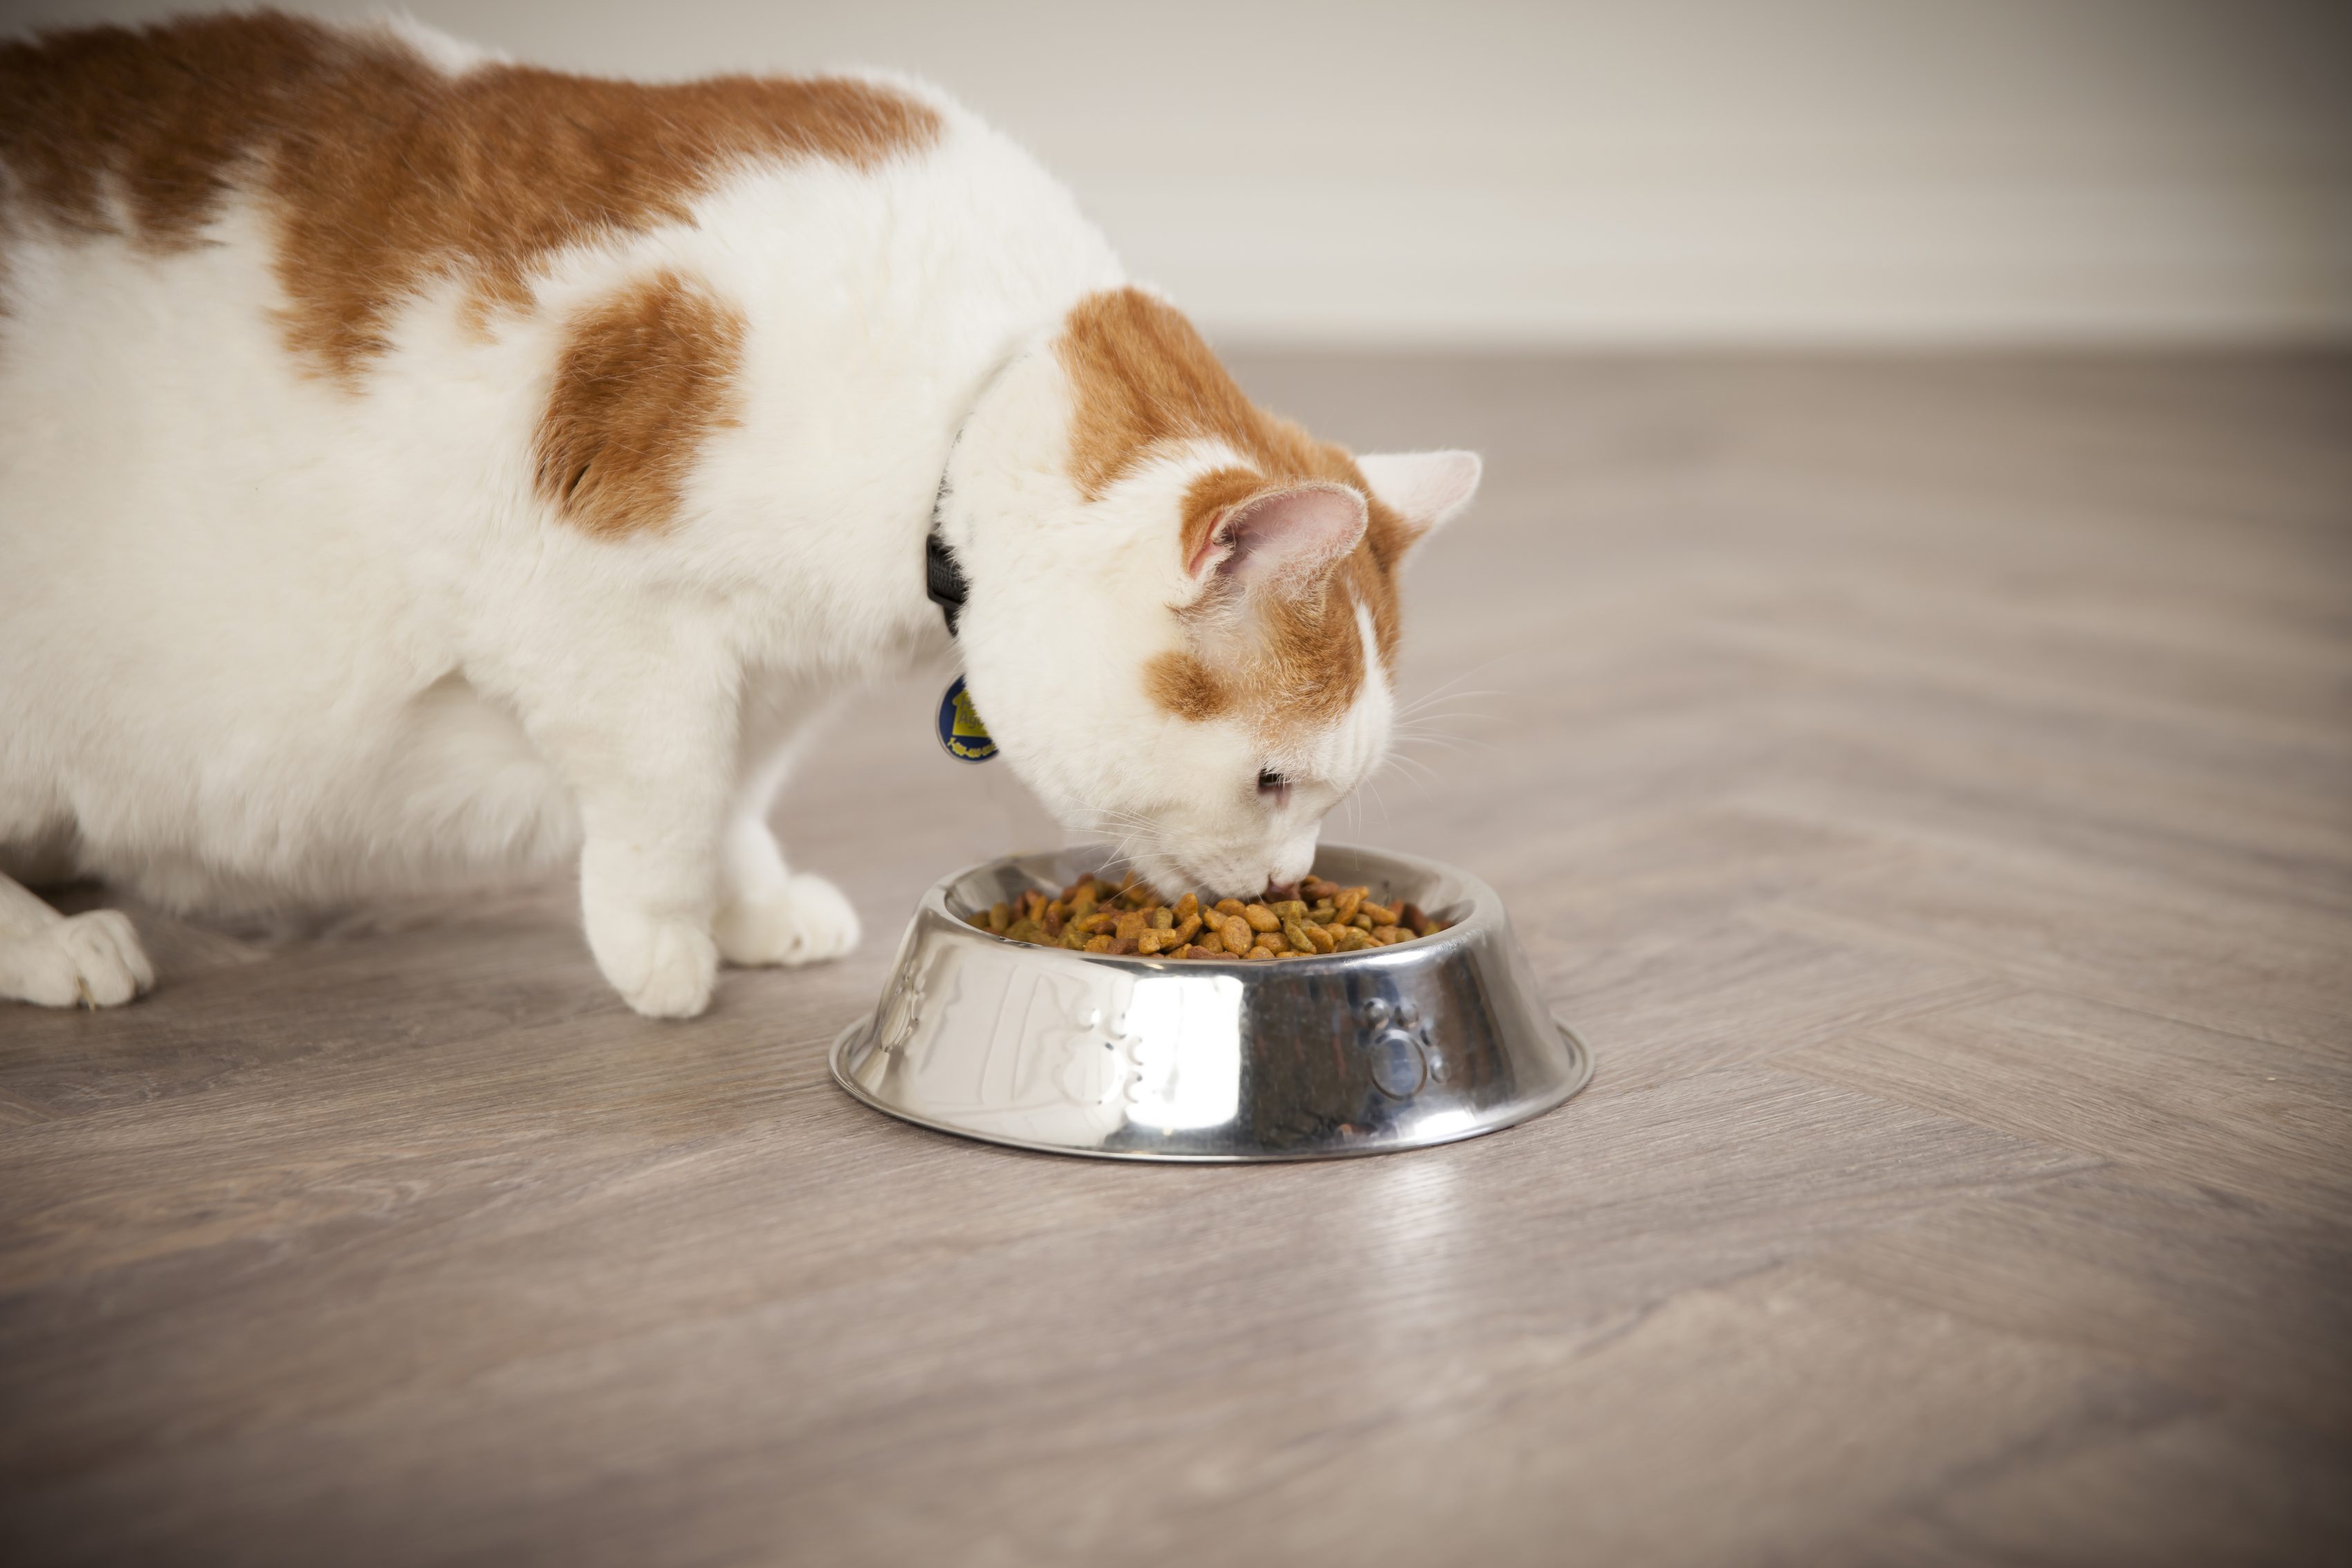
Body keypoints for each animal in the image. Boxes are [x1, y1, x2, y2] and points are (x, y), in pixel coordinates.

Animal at [0, 12, 1467, 1020]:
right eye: (1273, 781)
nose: (1284, 884)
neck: (967, 390)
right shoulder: (595, 615)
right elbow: (671, 784)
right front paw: (662, 945)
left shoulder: (775, 674)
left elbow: (737, 789)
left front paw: (749, 904)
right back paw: (59, 942)